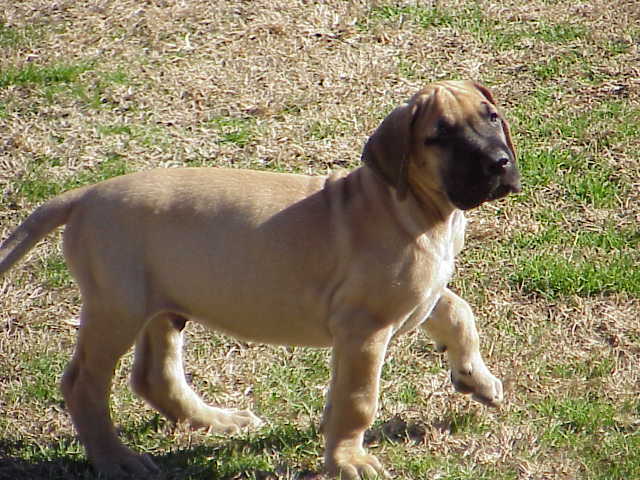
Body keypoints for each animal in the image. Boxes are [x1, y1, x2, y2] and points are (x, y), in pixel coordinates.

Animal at [0, 80, 520, 479]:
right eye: (440, 136)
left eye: (492, 117)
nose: (500, 163)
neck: (412, 207)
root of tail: (84, 195)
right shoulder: (364, 327)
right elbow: (357, 399)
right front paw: (348, 460)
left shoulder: (418, 295)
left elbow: (459, 313)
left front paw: (476, 378)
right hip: (117, 308)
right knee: (83, 383)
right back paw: (116, 459)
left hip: (159, 304)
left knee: (154, 376)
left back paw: (216, 420)